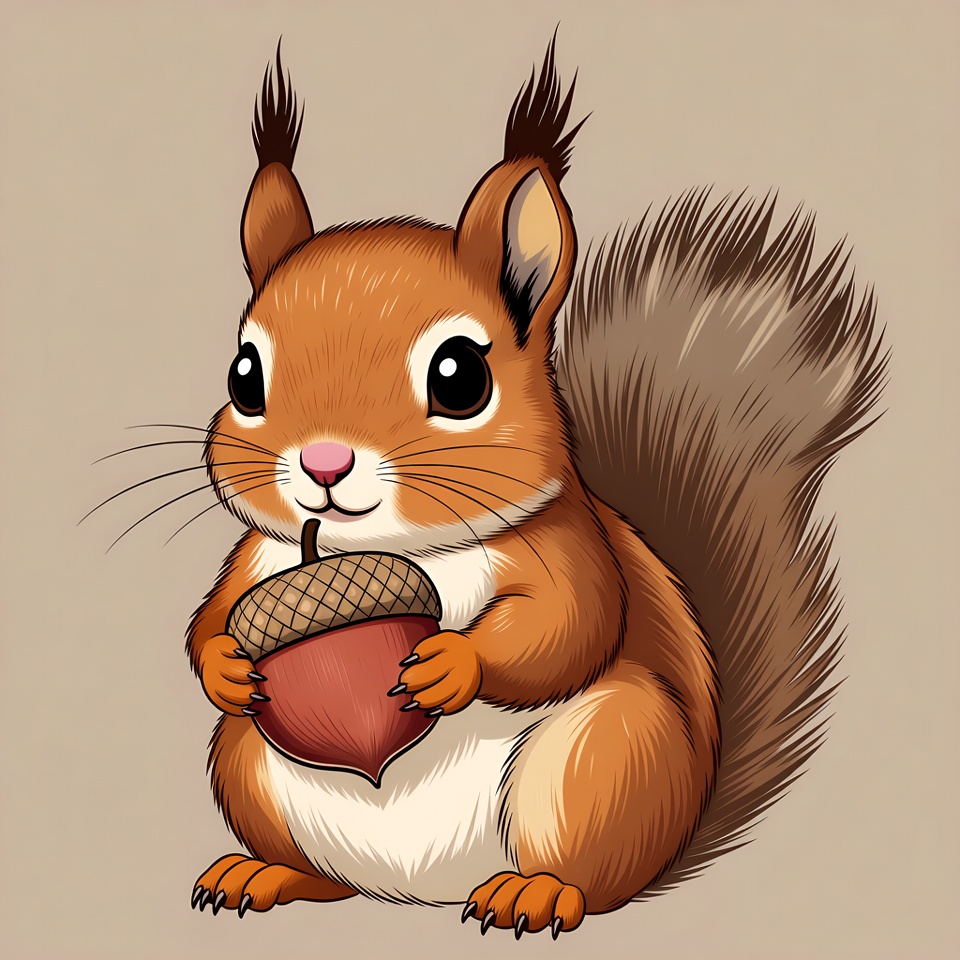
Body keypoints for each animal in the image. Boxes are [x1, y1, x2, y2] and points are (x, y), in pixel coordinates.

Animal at [185, 37, 887, 937]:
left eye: (459, 377)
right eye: (244, 376)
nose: (325, 464)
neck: (371, 548)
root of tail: (416, 891)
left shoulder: (563, 545)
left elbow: (570, 625)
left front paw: (451, 662)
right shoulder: (257, 560)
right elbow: (209, 621)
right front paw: (225, 667)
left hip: (604, 755)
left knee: (591, 875)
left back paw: (535, 892)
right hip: (244, 759)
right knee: (319, 869)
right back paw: (261, 874)